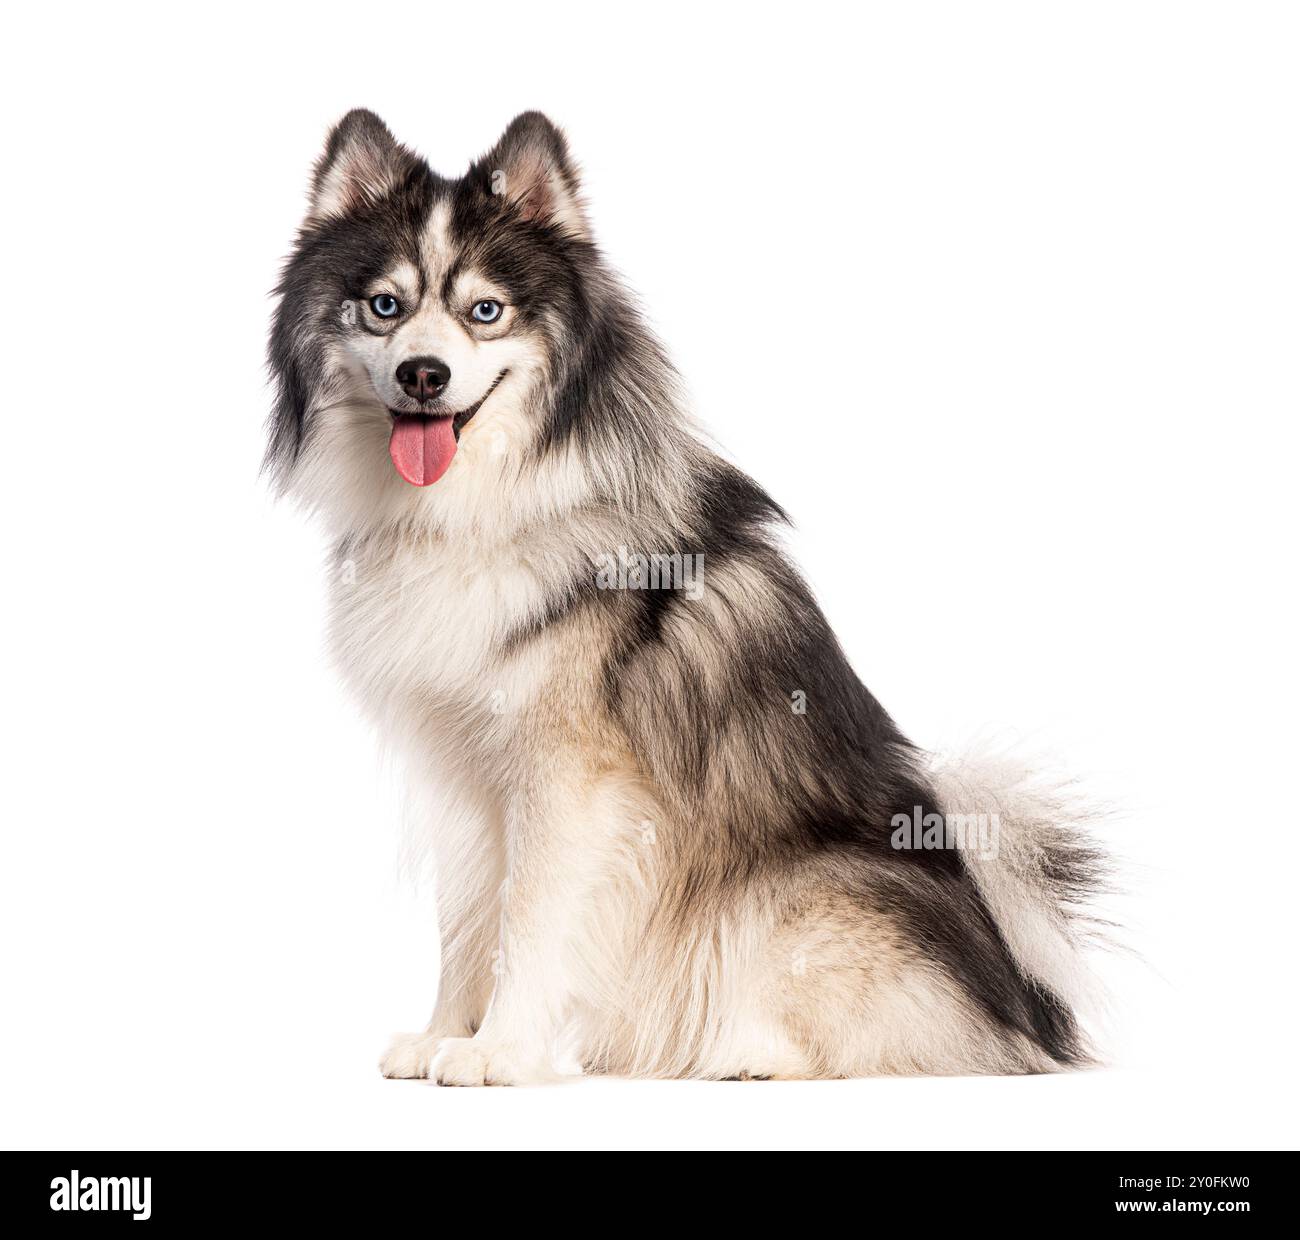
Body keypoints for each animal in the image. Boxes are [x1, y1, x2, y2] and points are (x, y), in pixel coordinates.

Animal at [269, 111, 1102, 1076]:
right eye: (384, 306)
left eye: (486, 311)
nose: (423, 376)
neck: (480, 506)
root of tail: (1025, 1001)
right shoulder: (462, 769)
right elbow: (467, 919)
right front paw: (446, 1034)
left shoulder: (566, 774)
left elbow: (526, 917)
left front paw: (501, 1051)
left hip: (801, 900)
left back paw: (747, 1051)